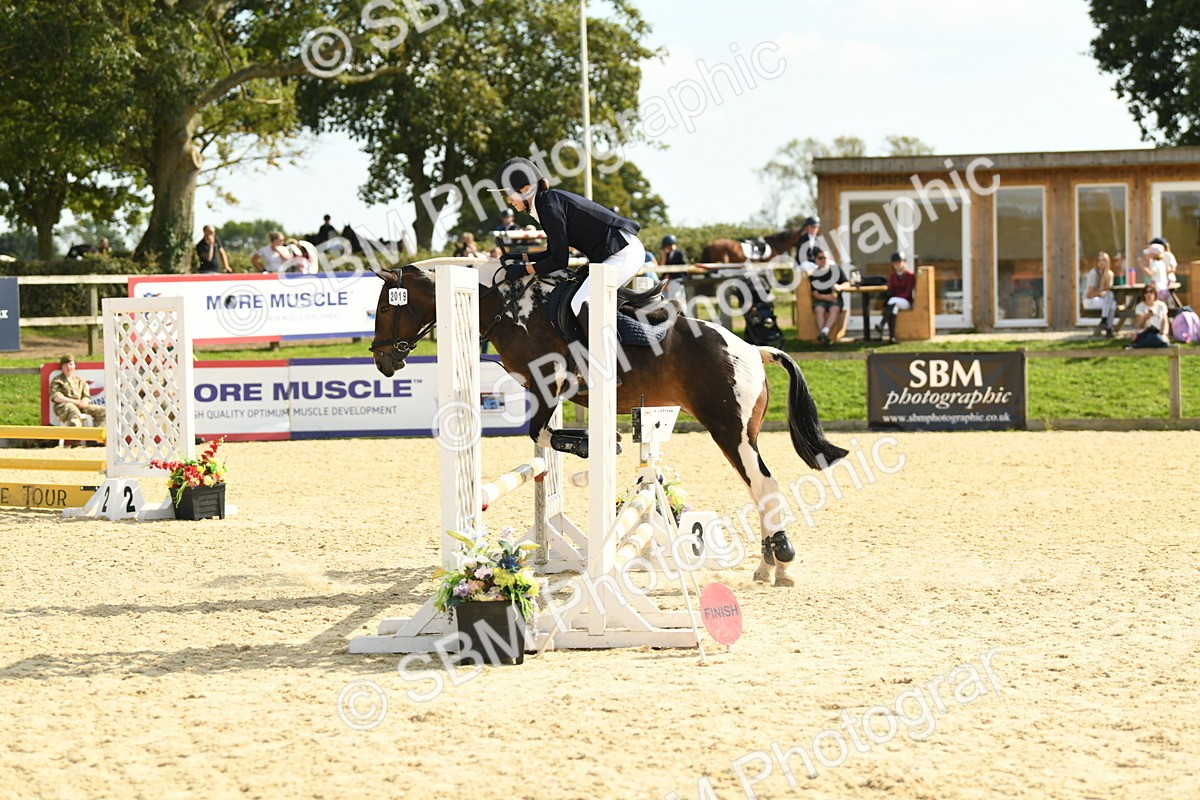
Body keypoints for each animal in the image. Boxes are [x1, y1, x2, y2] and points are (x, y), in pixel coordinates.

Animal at [368, 259, 848, 587]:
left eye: (385, 311)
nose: (383, 362)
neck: (504, 306)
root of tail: (753, 349)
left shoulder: (553, 382)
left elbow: (541, 432)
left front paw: (593, 446)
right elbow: (542, 438)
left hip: (730, 430)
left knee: (764, 484)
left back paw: (780, 559)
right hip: (739, 432)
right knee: (758, 486)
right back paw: (767, 563)